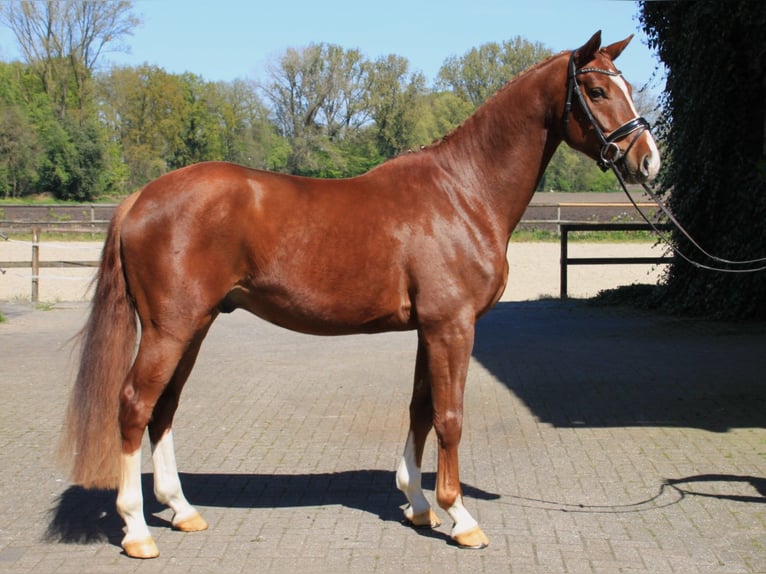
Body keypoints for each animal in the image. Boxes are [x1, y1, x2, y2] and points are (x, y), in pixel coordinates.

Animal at [59, 31, 660, 559]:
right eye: (597, 90)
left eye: (627, 84)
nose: (648, 160)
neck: (463, 190)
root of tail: (141, 197)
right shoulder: (453, 326)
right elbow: (450, 416)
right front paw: (460, 515)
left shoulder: (430, 329)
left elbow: (420, 408)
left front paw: (418, 503)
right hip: (170, 329)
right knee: (134, 406)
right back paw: (138, 530)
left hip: (195, 326)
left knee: (164, 408)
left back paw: (182, 510)